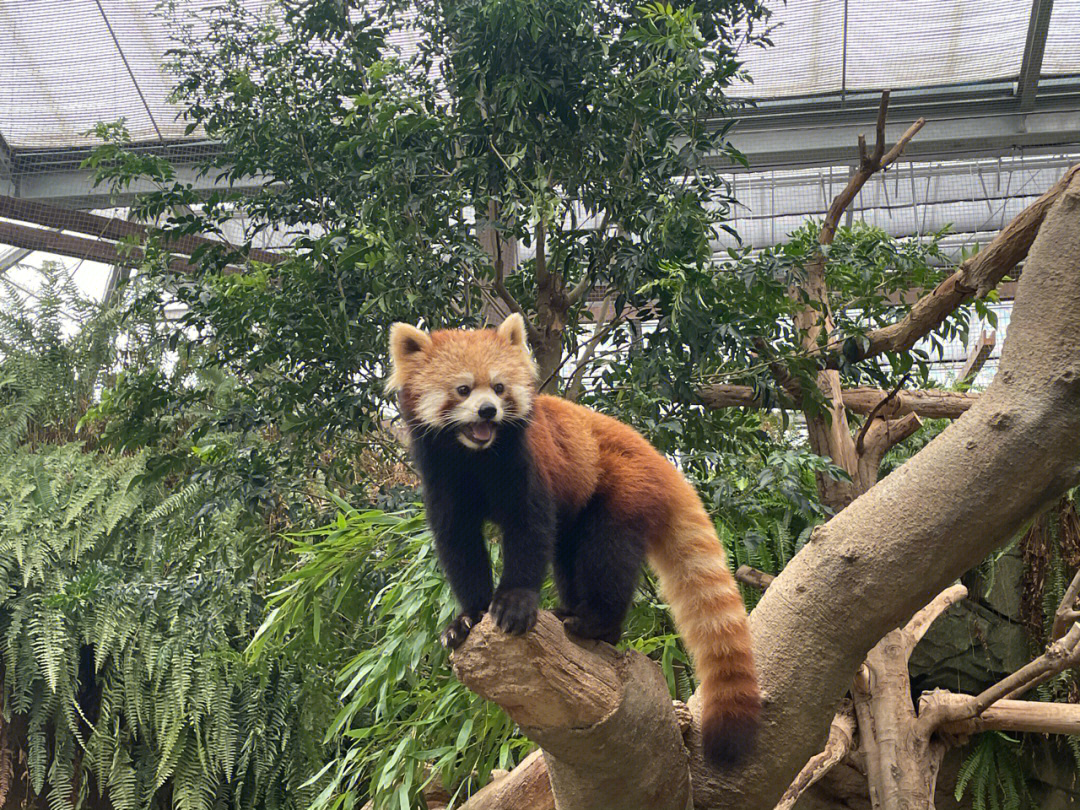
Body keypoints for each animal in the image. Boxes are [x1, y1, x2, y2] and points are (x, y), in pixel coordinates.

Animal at [388, 311, 760, 768]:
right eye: (463, 389)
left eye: (499, 387)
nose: (489, 410)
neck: (475, 456)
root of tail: (657, 458)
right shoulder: (442, 480)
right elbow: (459, 547)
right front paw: (468, 618)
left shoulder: (526, 464)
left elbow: (529, 532)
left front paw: (513, 604)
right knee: (568, 556)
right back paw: (569, 610)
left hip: (621, 489)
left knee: (606, 555)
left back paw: (596, 623)